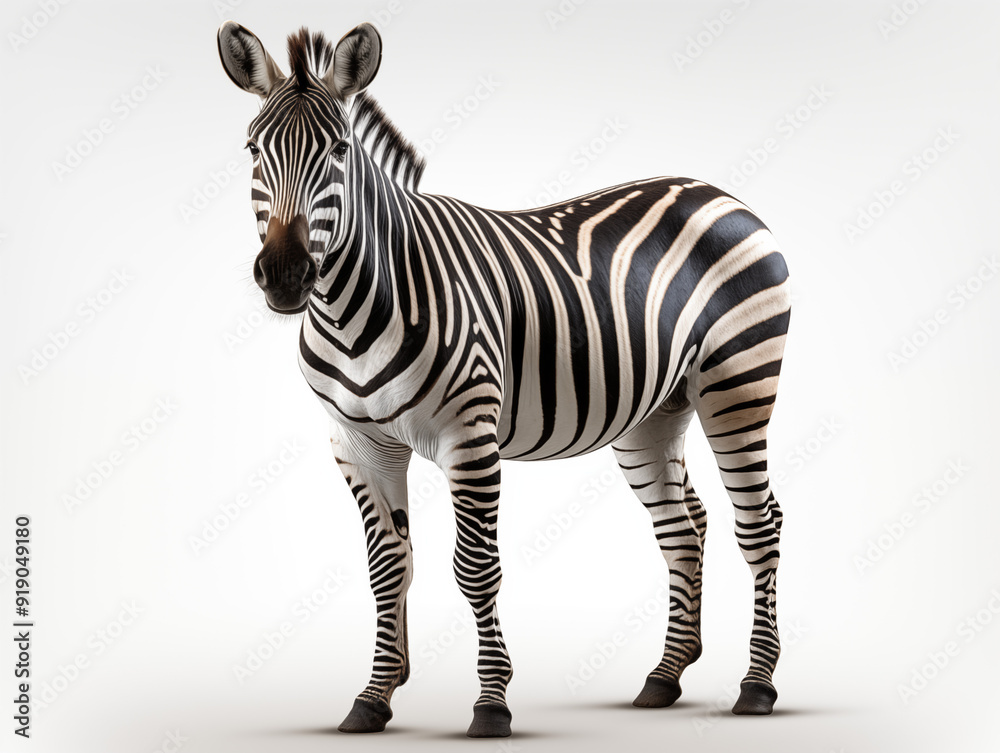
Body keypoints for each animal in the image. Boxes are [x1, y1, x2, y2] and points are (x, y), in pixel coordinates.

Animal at [217, 21, 792, 738]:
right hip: (653, 414)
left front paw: (491, 704)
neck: (358, 309)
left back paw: (758, 685)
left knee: (760, 524)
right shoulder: (358, 444)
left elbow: (475, 569)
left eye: (340, 151)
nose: (287, 275)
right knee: (684, 527)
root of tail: (717, 192)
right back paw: (664, 676)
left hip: (738, 383)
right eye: (252, 149)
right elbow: (387, 569)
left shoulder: (469, 436)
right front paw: (374, 697)